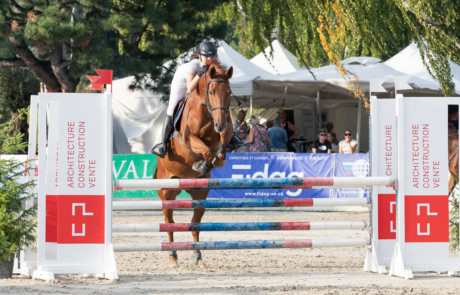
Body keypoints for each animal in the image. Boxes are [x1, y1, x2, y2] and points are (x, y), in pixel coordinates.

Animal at [154, 60, 234, 268]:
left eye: (229, 92)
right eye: (211, 92)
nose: (219, 123)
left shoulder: (224, 129)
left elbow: (223, 140)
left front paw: (217, 161)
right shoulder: (189, 139)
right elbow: (204, 150)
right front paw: (203, 164)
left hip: (199, 194)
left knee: (195, 223)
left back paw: (198, 257)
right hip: (167, 192)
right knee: (169, 223)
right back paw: (173, 256)